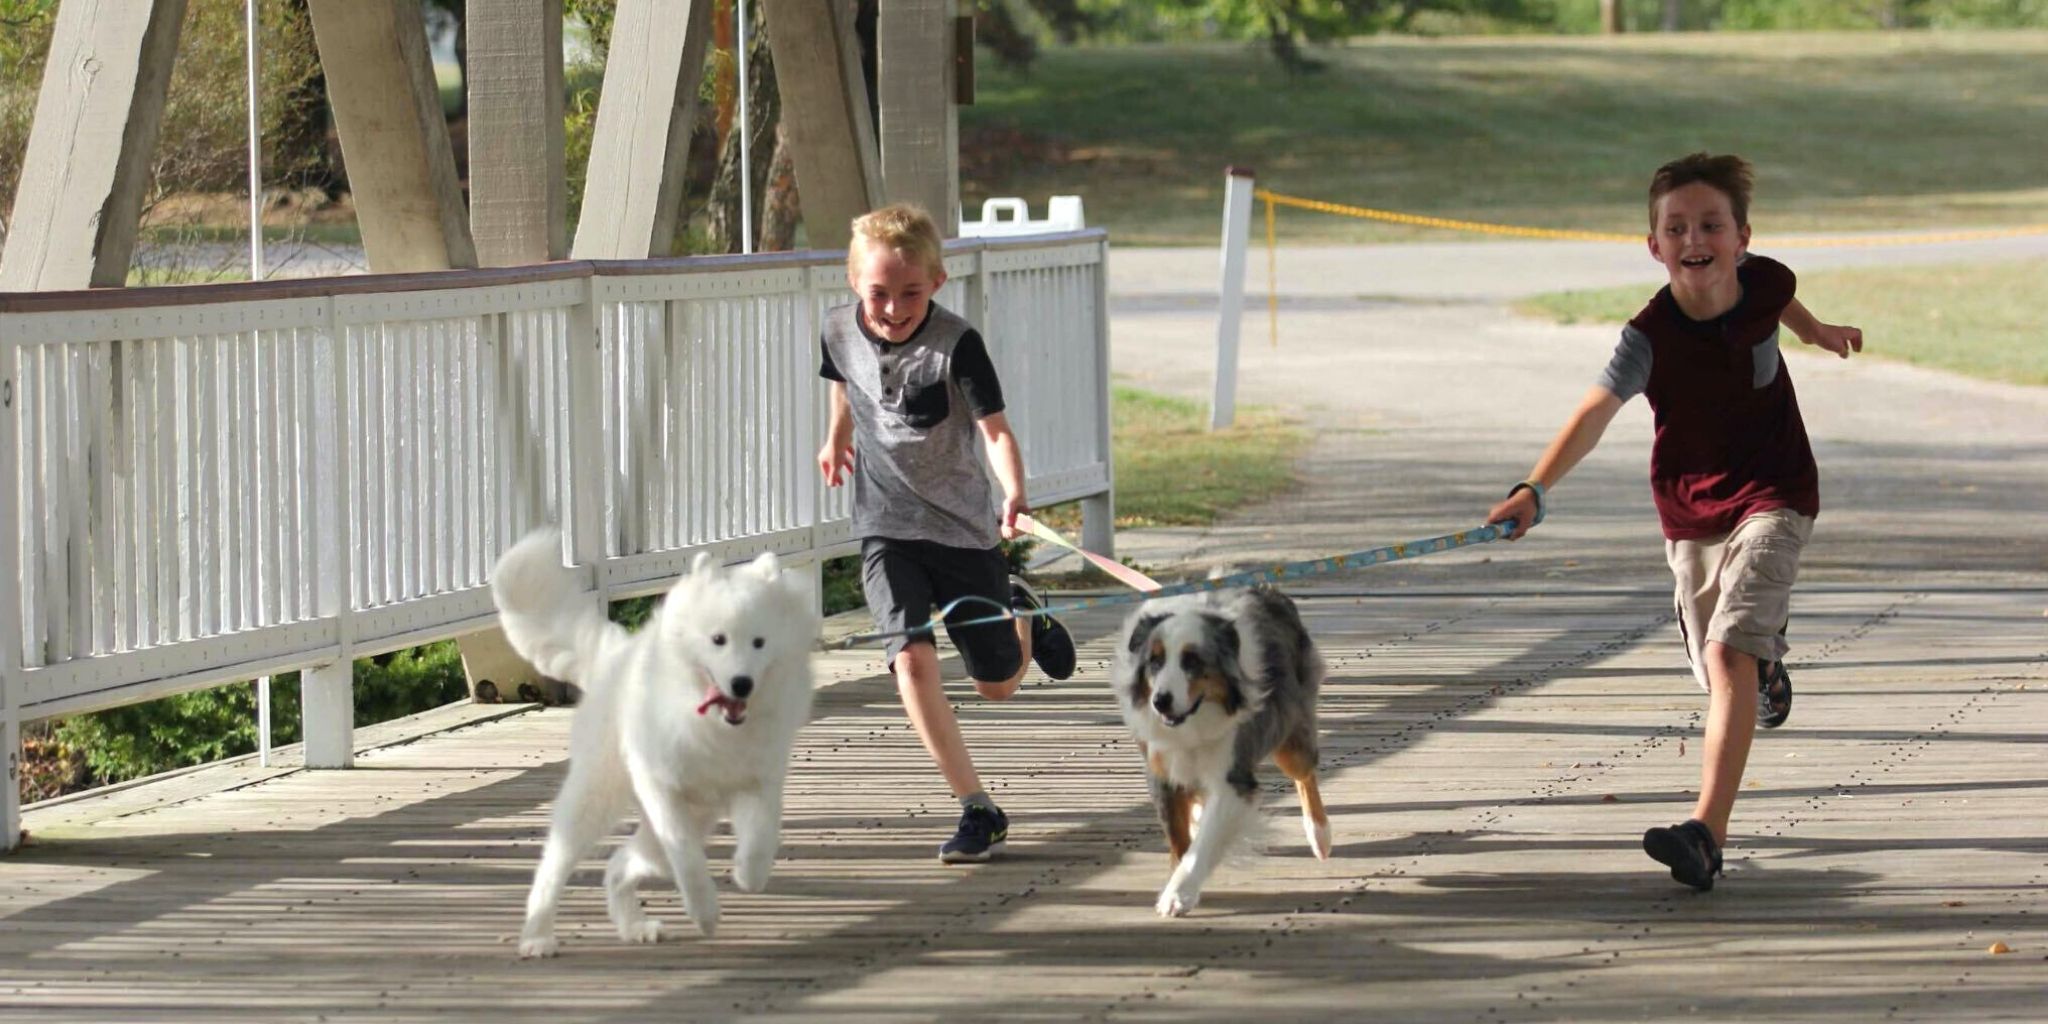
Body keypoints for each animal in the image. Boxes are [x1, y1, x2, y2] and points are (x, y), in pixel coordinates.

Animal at [491, 532, 819, 954]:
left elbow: (761, 840)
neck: (717, 727)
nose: (741, 683)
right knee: (555, 863)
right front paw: (704, 911)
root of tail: (615, 657)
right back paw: (538, 936)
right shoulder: (662, 789)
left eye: (759, 642)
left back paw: (634, 926)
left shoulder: (758, 783)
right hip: (596, 800)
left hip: (683, 825)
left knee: (619, 864)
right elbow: (687, 858)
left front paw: (748, 874)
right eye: (718, 640)